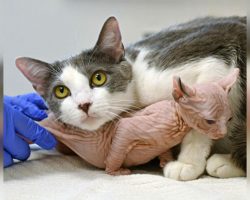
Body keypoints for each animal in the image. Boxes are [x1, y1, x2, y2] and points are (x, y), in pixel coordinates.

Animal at [16, 16, 246, 180]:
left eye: (98, 77)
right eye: (61, 91)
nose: (84, 104)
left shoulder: (213, 59)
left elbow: (201, 116)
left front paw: (187, 164)